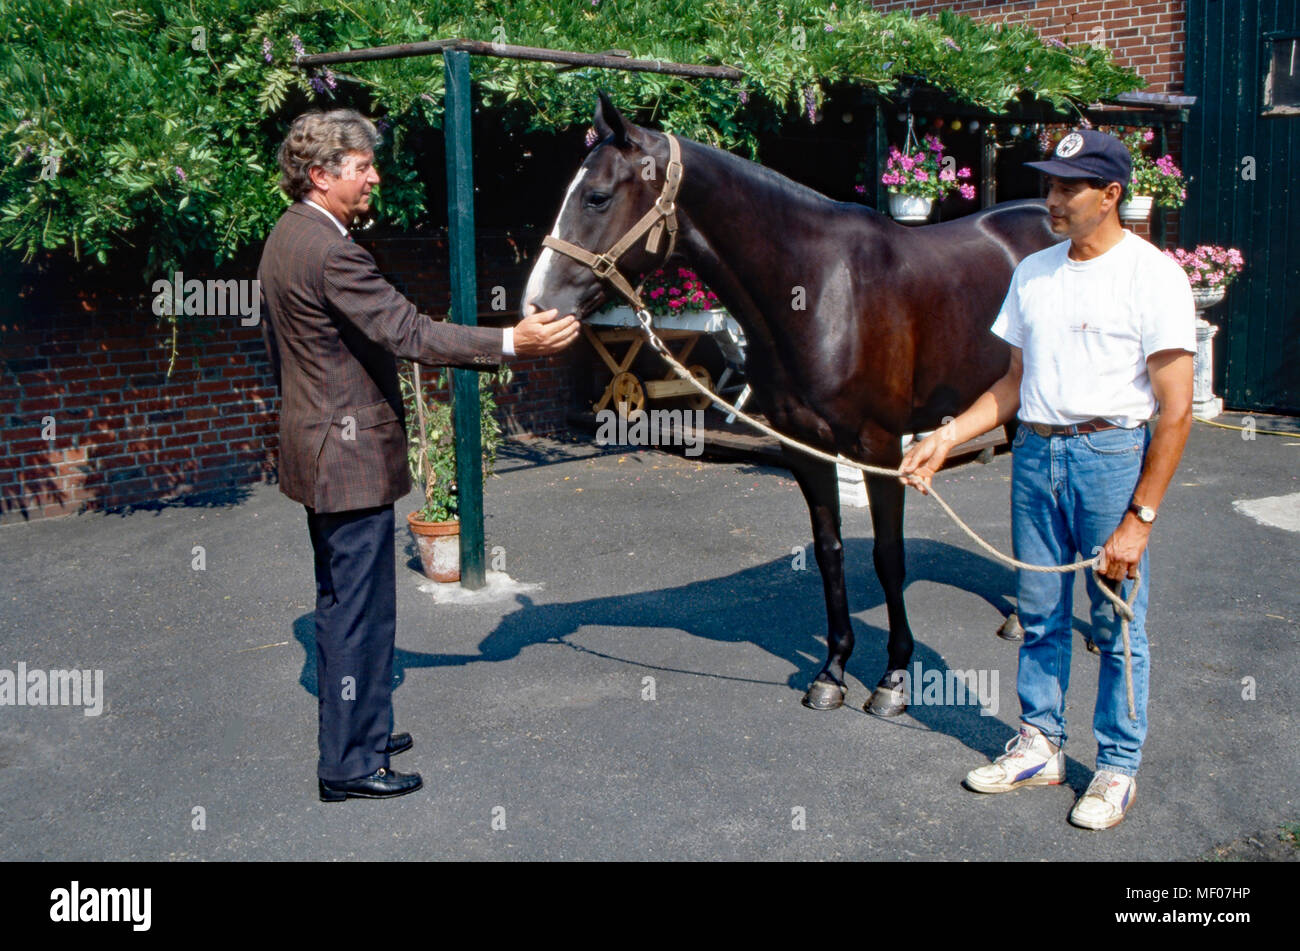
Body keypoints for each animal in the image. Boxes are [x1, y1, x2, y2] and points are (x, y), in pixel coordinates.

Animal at [522, 96, 1060, 717]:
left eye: (597, 197)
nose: (536, 306)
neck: (822, 289)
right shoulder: (804, 445)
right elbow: (829, 553)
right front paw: (832, 672)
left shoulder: (880, 446)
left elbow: (889, 556)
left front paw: (894, 678)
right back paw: (1022, 617)